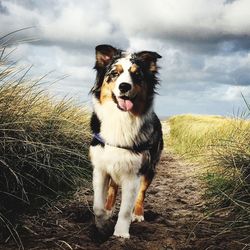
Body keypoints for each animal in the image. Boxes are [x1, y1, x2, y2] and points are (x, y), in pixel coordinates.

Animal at [89, 45, 163, 238]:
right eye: (114, 73)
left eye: (137, 75)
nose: (124, 86)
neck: (120, 119)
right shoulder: (100, 168)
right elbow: (97, 206)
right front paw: (103, 224)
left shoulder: (134, 173)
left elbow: (125, 209)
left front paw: (121, 233)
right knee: (113, 189)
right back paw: (109, 209)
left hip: (150, 168)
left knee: (141, 194)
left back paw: (138, 213)